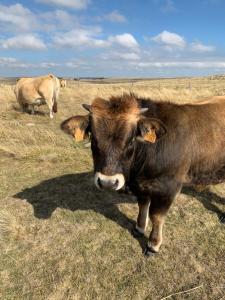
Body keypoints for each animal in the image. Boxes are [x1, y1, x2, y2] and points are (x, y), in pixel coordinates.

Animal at [61, 93, 225, 255]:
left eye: (131, 140)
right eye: (93, 139)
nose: (108, 182)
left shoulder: (169, 187)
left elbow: (156, 216)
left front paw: (153, 245)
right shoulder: (140, 186)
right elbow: (143, 205)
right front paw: (139, 228)